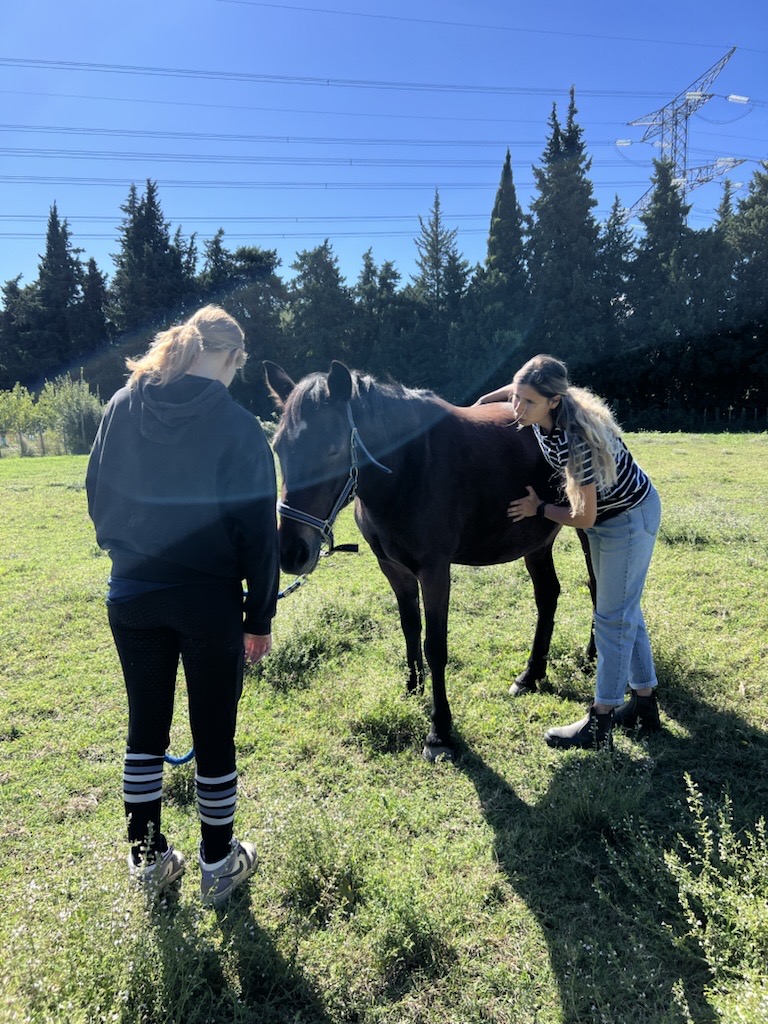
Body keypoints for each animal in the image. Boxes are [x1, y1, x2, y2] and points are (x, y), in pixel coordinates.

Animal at [264, 360, 595, 761]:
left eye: (331, 450)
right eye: (279, 449)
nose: (292, 552)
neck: (408, 469)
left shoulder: (435, 571)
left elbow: (435, 645)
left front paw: (439, 732)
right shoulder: (393, 568)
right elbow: (410, 627)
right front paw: (412, 687)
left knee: (598, 588)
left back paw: (591, 657)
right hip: (536, 542)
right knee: (547, 596)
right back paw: (530, 676)